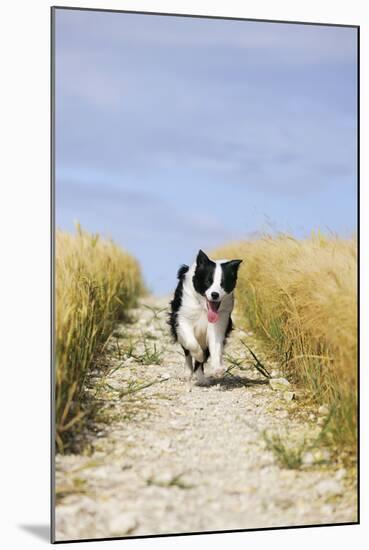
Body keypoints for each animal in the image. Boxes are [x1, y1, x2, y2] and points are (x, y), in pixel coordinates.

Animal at [169, 249, 242, 384]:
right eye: (208, 281)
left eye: (223, 283)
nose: (215, 294)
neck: (204, 307)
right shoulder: (182, 318)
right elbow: (192, 344)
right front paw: (198, 355)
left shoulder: (220, 322)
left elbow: (215, 346)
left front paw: (218, 368)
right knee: (187, 353)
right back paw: (187, 373)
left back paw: (202, 379)